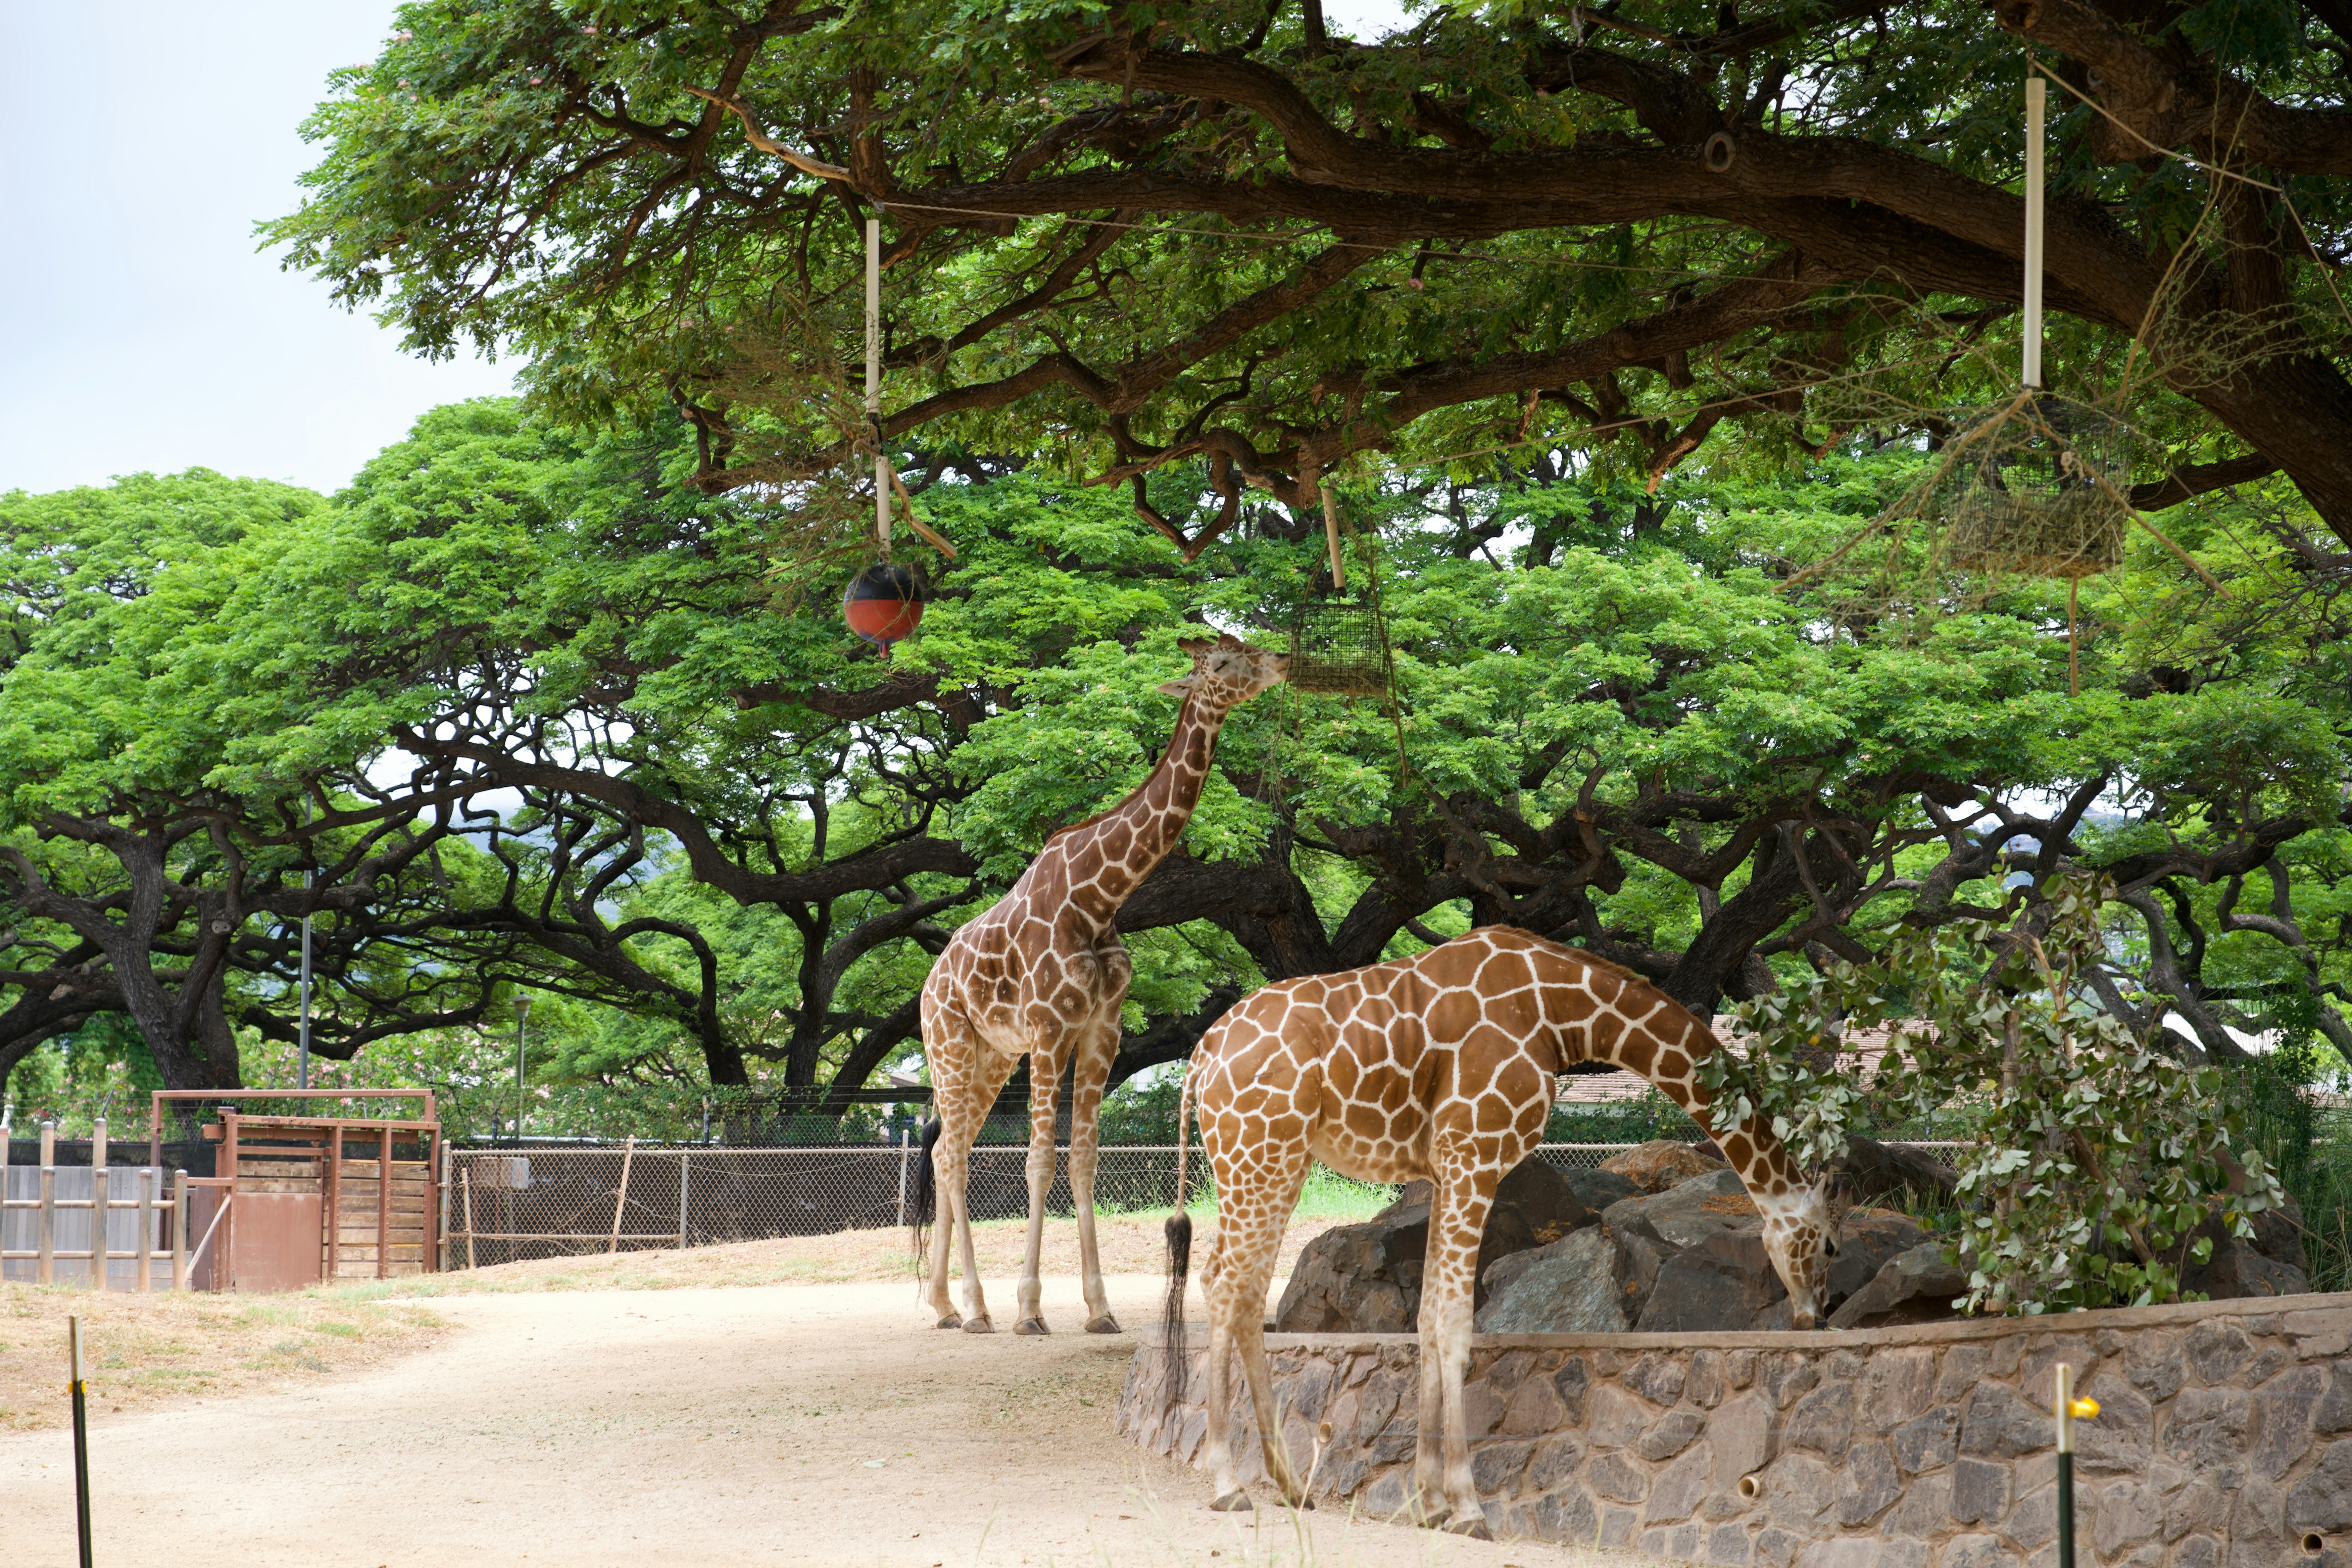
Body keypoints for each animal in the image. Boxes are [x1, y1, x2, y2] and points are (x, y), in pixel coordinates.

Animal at [917, 632, 1288, 1336]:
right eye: (1221, 661)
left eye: (1242, 644)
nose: (1280, 661)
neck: (1099, 896)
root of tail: (927, 985)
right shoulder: (1049, 1028)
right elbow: (1038, 1161)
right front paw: (1030, 1309)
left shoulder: (1099, 1030)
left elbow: (1084, 1160)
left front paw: (1099, 1308)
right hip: (947, 1042)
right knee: (951, 1155)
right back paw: (976, 1307)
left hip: (989, 1057)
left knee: (949, 1146)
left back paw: (948, 1305)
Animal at [1161, 925, 1838, 1533]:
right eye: (1829, 1244)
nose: (1816, 1315)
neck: (1561, 1015)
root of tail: (1202, 1057)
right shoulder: (1474, 1152)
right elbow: (1455, 1323)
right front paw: (1467, 1506)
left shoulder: (1444, 1168)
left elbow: (1427, 1316)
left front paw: (1428, 1502)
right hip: (1262, 1151)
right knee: (1227, 1284)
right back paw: (1228, 1484)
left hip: (1272, 1158)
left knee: (1243, 1287)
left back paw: (1289, 1484)